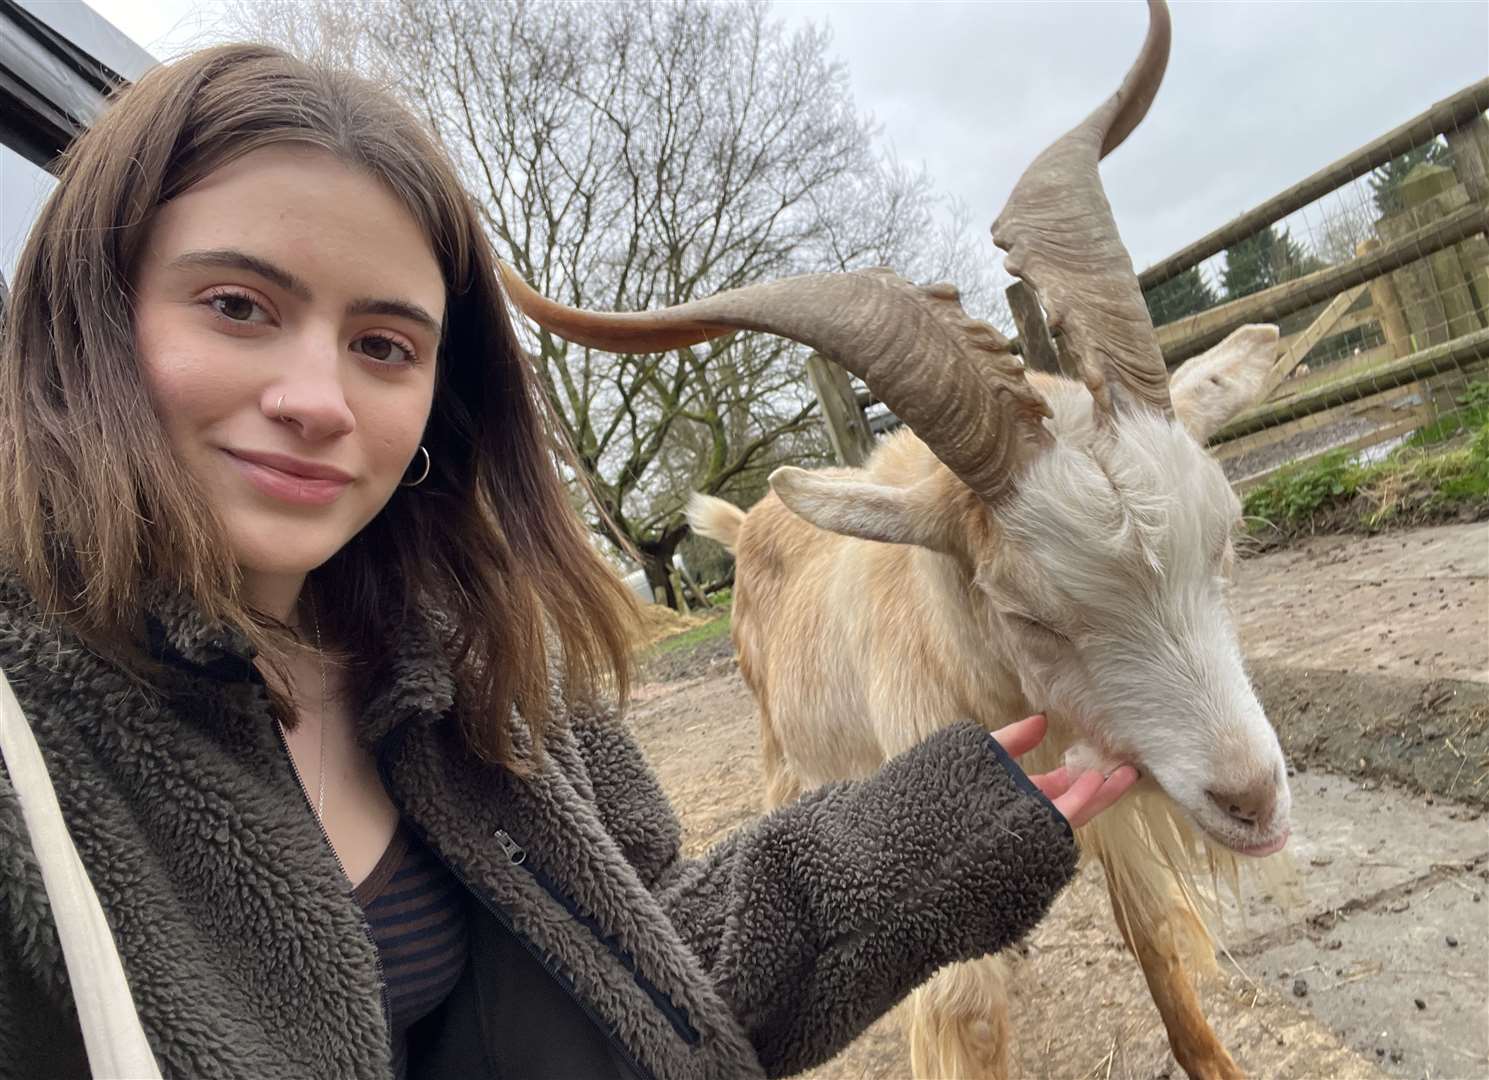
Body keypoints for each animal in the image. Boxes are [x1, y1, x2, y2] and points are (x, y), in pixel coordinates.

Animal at [500, 6, 1292, 1072]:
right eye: (1025, 613)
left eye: (1226, 541)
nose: (1251, 800)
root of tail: (748, 523)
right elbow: (962, 1009)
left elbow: (1158, 951)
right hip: (783, 746)